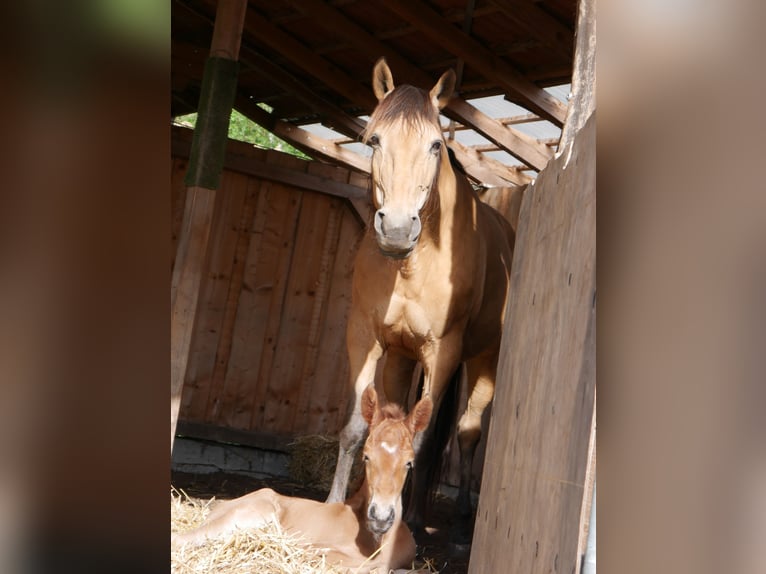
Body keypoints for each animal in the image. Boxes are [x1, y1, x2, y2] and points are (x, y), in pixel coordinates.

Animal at [173, 385, 432, 573]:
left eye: (409, 462)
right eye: (366, 456)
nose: (380, 517)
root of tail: (216, 508)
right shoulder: (319, 548)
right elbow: (363, 566)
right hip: (253, 513)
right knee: (183, 538)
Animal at [326, 58, 515, 545]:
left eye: (435, 145)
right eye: (374, 139)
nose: (395, 228)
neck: (414, 263)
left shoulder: (442, 351)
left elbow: (427, 439)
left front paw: (409, 521)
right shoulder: (365, 337)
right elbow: (358, 427)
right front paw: (336, 503)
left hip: (482, 361)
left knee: (467, 433)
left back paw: (463, 517)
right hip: (400, 357)